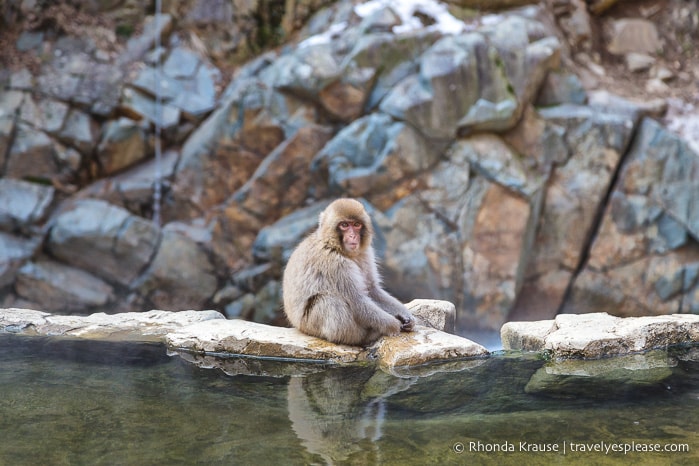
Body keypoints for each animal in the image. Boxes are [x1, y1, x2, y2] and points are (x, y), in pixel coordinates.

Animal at [284, 198, 416, 346]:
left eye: (357, 225)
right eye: (344, 225)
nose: (353, 236)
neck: (334, 247)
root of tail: (298, 327)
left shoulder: (365, 254)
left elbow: (371, 289)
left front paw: (405, 315)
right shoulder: (335, 264)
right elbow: (356, 301)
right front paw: (393, 325)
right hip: (310, 325)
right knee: (328, 299)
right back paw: (363, 336)